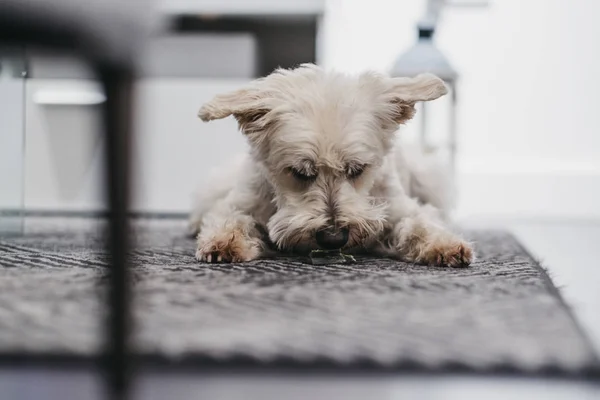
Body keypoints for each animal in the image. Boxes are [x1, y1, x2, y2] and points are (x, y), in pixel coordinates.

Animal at [190, 64, 472, 268]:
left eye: (357, 170)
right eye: (299, 172)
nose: (333, 238)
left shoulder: (400, 207)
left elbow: (420, 224)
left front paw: (442, 244)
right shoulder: (240, 201)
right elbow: (231, 218)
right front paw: (224, 242)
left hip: (428, 177)